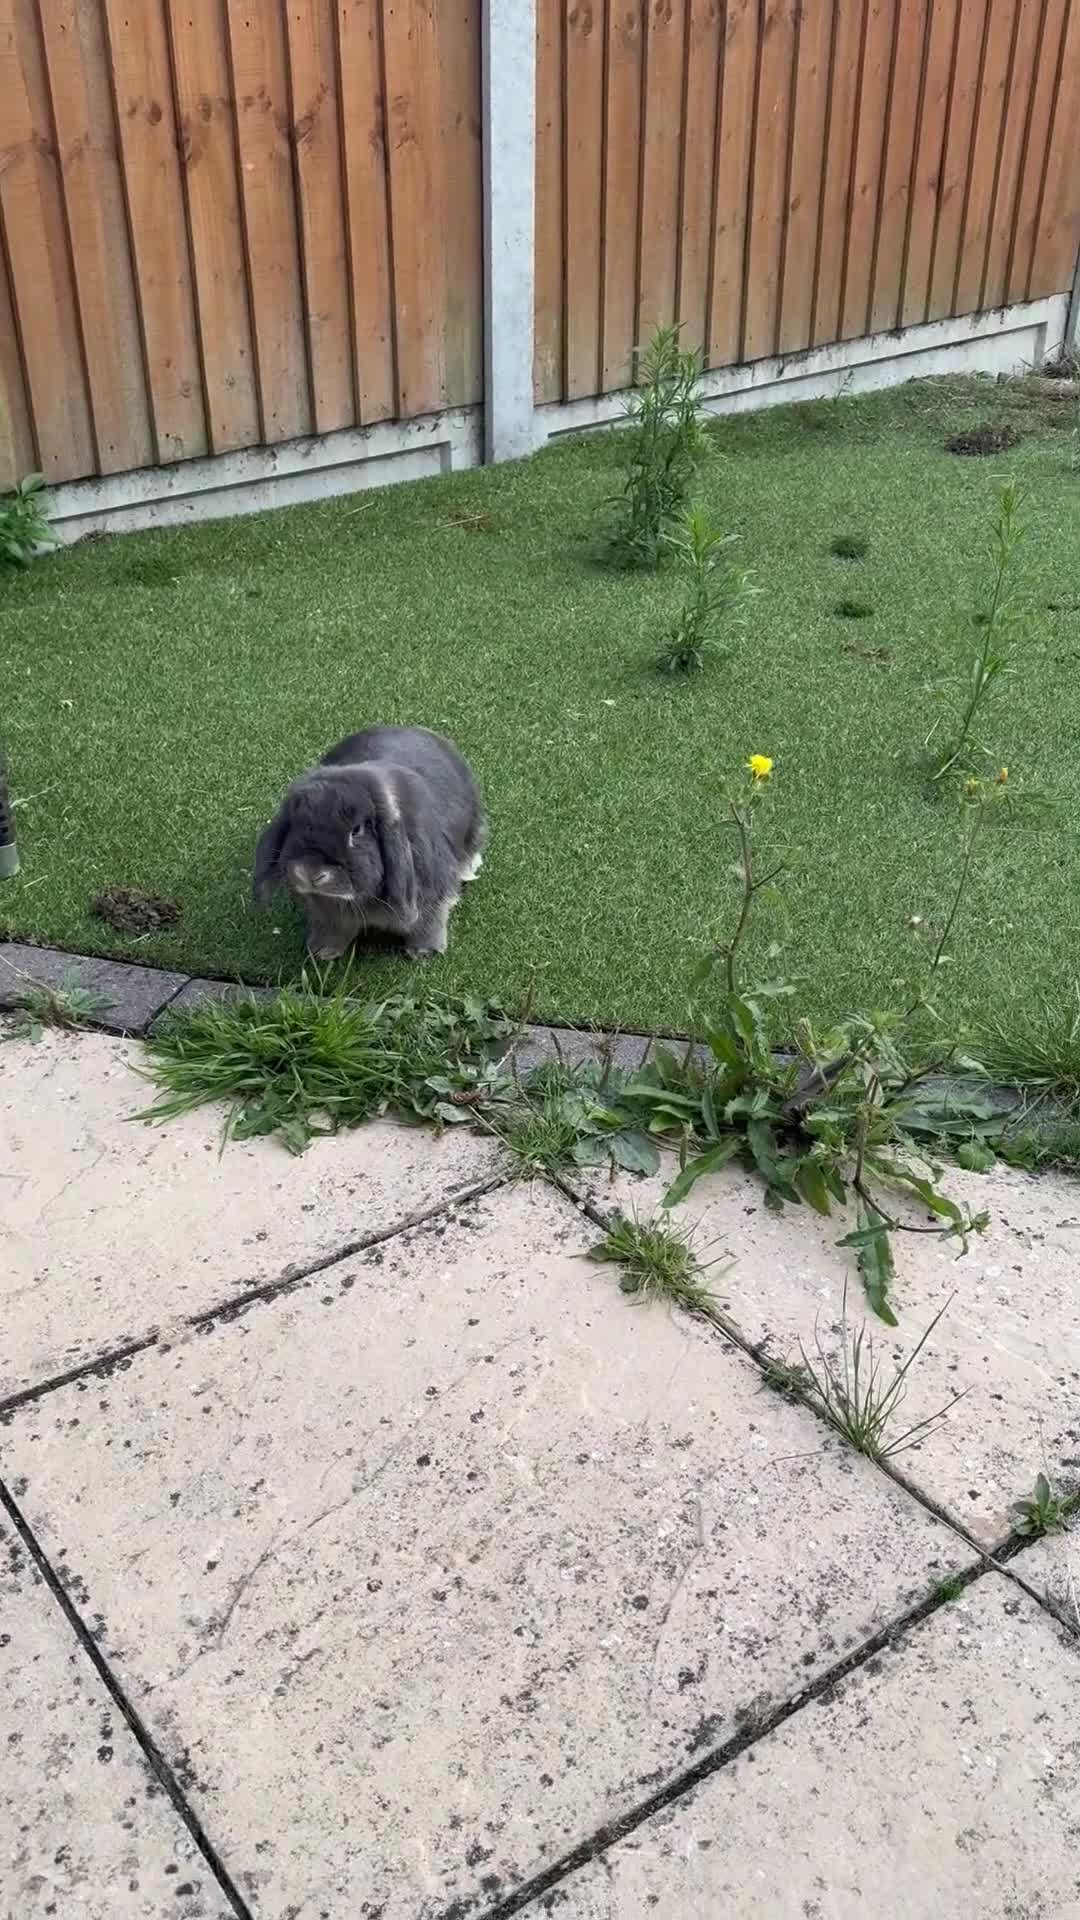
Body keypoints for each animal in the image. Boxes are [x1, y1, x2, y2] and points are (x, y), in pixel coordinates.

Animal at [253, 726, 486, 961]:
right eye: (295, 823)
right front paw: (322, 952)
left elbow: (429, 924)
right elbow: (332, 930)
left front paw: (423, 952)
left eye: (356, 831)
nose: (309, 873)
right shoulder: (328, 913)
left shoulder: (431, 894)